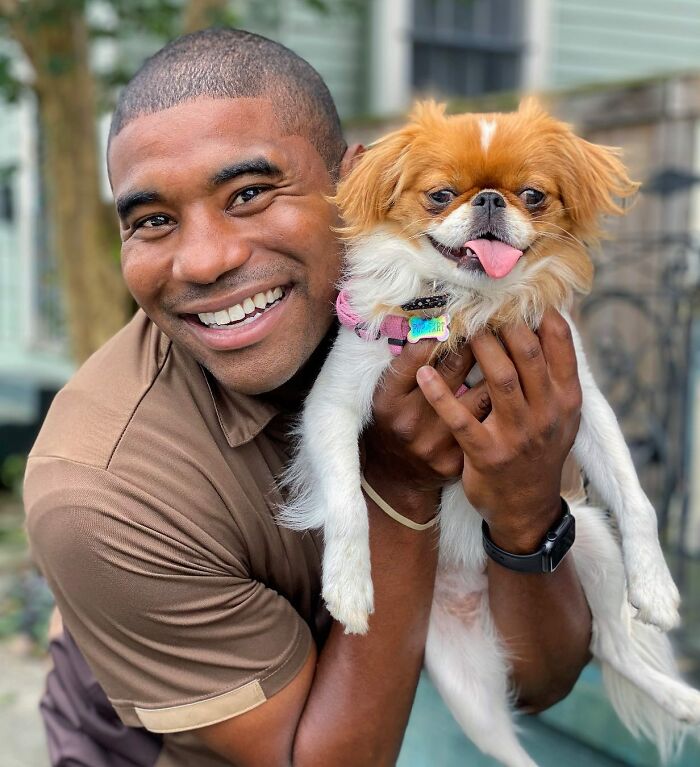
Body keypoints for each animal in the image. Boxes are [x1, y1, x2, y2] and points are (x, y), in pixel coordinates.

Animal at [280, 102, 700, 767]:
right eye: (440, 195)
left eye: (532, 196)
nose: (489, 200)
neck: (471, 309)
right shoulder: (333, 407)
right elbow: (347, 503)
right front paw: (348, 586)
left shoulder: (584, 403)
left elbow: (638, 500)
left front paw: (659, 588)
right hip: (465, 690)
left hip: (591, 544)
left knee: (610, 643)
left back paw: (682, 699)